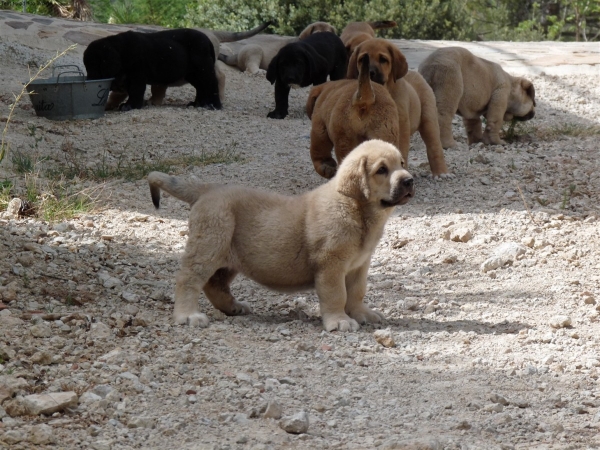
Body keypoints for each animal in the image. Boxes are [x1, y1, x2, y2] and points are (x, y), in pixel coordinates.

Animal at [85, 28, 223, 111]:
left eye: (96, 67)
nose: (89, 80)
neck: (122, 52)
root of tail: (208, 40)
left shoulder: (137, 76)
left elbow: (135, 91)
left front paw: (130, 105)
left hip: (203, 69)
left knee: (211, 84)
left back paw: (214, 105)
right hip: (193, 74)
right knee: (202, 87)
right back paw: (198, 103)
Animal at [148, 139, 414, 332]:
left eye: (402, 163)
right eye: (382, 170)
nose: (410, 180)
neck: (355, 208)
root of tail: (207, 189)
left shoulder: (359, 265)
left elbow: (356, 292)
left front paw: (362, 313)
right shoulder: (331, 265)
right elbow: (336, 294)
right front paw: (339, 321)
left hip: (228, 256)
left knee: (215, 284)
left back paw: (233, 307)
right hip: (209, 245)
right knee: (189, 279)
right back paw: (188, 315)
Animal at [346, 38, 450, 179]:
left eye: (383, 59)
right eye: (362, 59)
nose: (370, 73)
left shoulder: (399, 125)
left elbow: (399, 150)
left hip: (429, 120)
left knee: (434, 146)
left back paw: (441, 173)